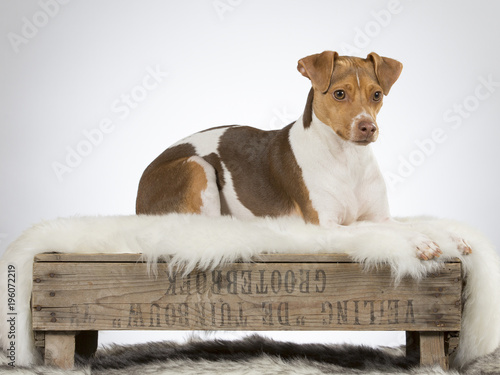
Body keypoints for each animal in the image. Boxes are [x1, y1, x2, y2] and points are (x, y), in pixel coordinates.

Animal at [136, 50, 468, 262]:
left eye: (377, 95)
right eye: (339, 93)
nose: (368, 127)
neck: (348, 160)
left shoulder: (381, 215)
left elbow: (410, 223)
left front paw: (449, 236)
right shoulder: (326, 226)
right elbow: (373, 228)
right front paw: (420, 241)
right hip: (196, 167)